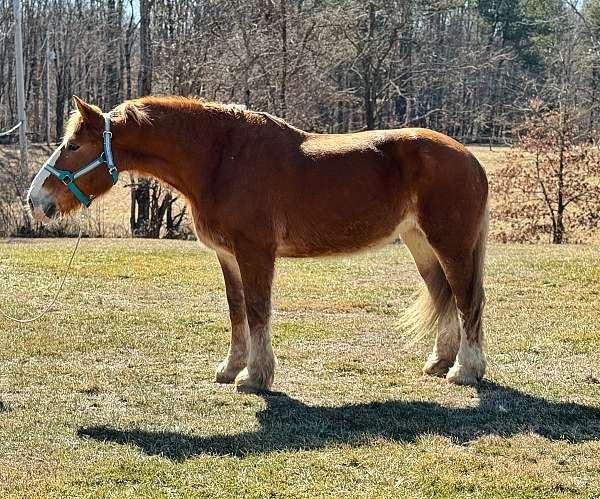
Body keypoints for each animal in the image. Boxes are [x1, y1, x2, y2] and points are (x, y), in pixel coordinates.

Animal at [25, 96, 490, 394]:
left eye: (72, 145)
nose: (35, 200)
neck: (220, 160)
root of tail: (469, 158)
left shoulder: (254, 253)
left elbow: (257, 310)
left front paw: (255, 377)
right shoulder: (228, 256)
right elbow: (237, 312)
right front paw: (231, 368)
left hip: (450, 244)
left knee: (467, 300)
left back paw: (465, 372)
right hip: (421, 244)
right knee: (444, 295)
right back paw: (440, 363)